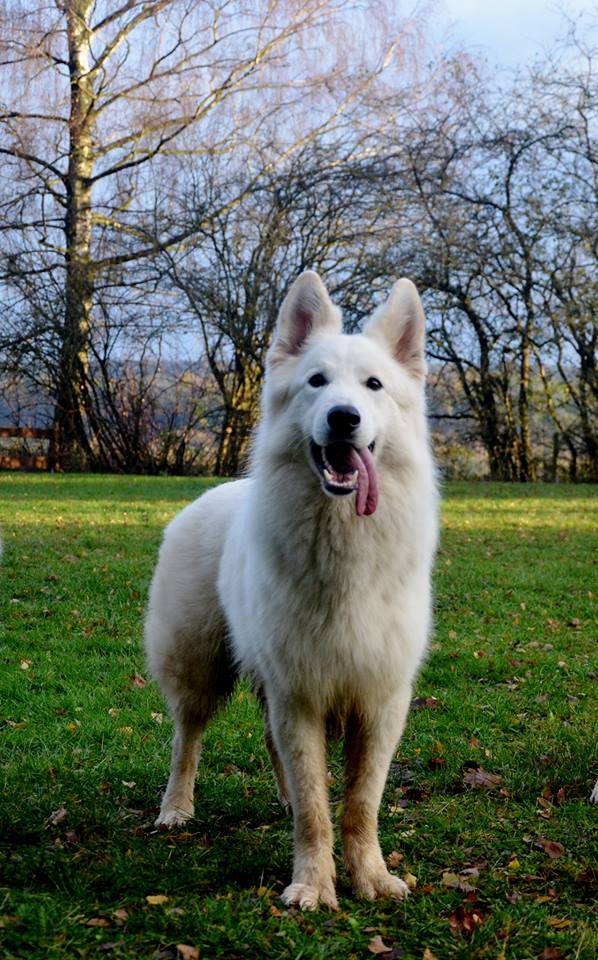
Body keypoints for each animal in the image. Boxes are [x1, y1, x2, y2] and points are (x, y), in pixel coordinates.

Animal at [145, 268, 440, 908]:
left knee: (268, 741)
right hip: (198, 668)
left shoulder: (378, 701)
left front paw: (370, 876)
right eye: (317, 382)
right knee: (186, 739)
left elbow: (358, 804)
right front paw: (312, 884)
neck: (343, 542)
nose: (343, 417)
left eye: (374, 385)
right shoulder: (299, 696)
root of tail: (214, 493)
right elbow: (315, 808)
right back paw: (176, 808)